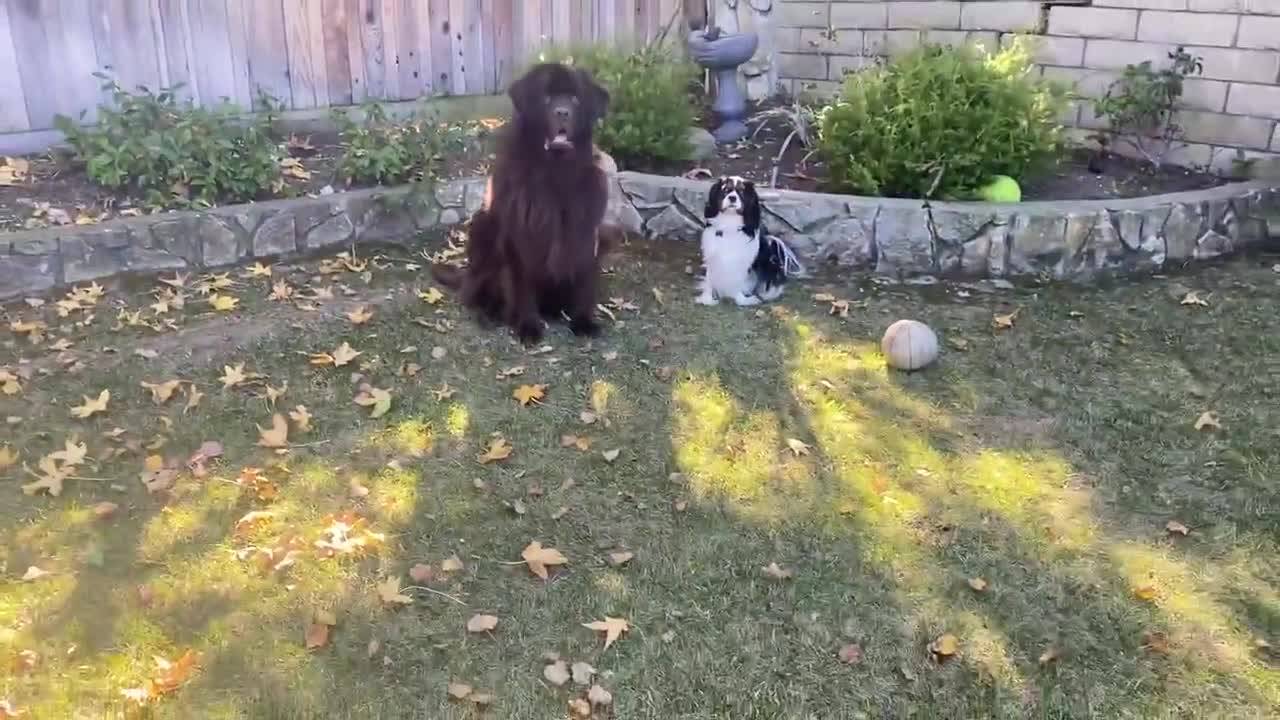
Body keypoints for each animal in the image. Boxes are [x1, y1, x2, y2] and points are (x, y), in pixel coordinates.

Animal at [437, 62, 611, 340]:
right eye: (546, 97)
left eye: (575, 99)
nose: (563, 112)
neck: (555, 175)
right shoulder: (520, 237)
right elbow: (523, 285)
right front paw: (528, 326)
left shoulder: (585, 232)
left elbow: (584, 279)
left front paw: (583, 321)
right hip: (482, 225)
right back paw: (489, 314)